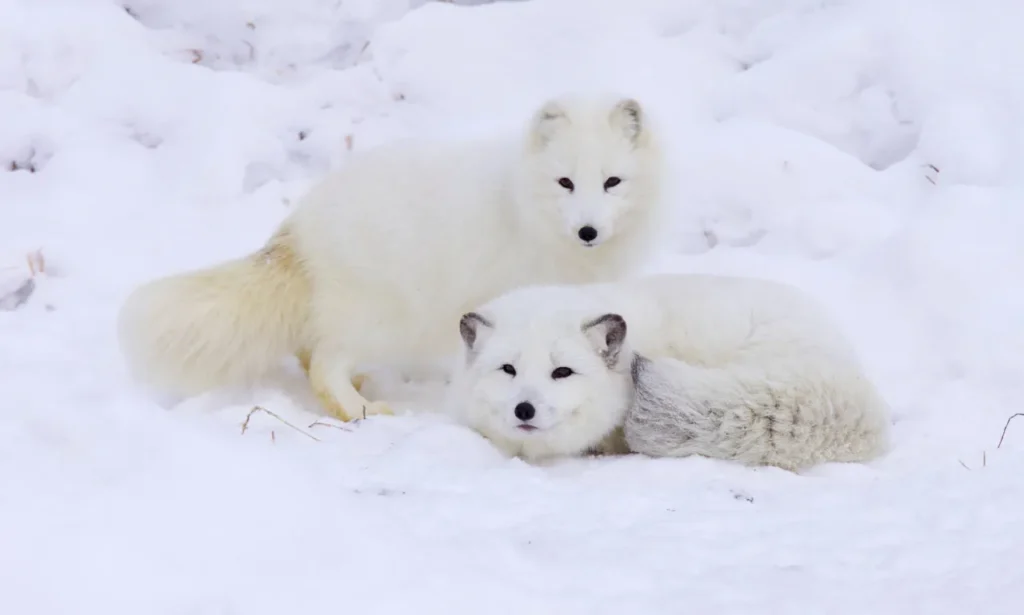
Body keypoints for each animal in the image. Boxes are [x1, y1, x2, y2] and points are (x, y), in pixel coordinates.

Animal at [117, 94, 663, 421]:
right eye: (565, 182)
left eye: (612, 182)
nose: (588, 231)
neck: (525, 205)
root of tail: (299, 224)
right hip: (383, 317)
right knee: (324, 364)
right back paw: (361, 410)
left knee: (311, 352)